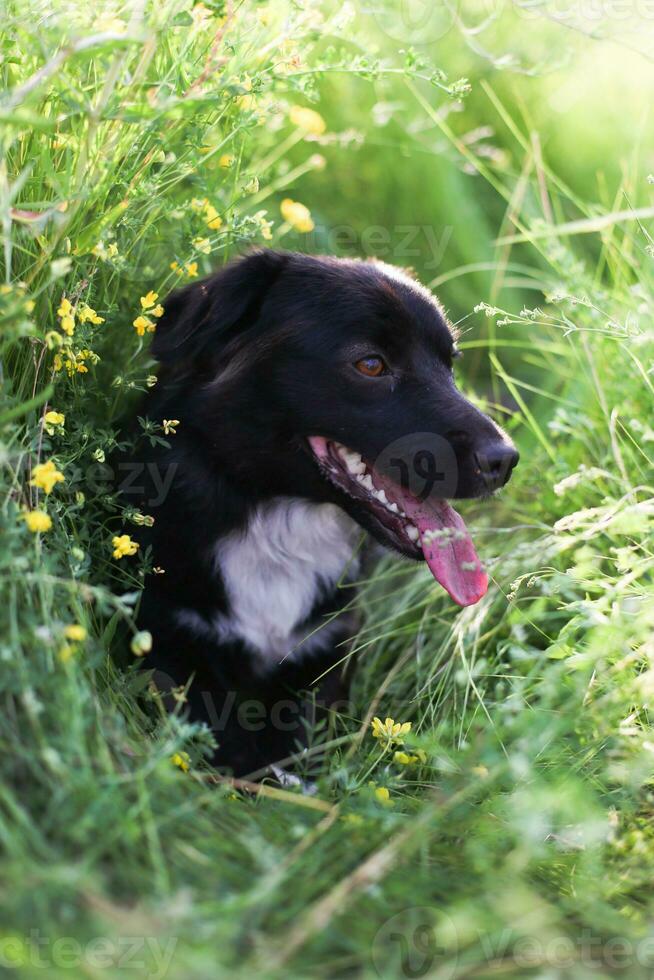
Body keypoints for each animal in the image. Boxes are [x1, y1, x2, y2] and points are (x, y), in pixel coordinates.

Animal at [123, 249, 520, 776]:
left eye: (449, 363)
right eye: (371, 364)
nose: (505, 460)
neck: (275, 516)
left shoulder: (326, 650)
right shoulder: (167, 636)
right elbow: (222, 736)